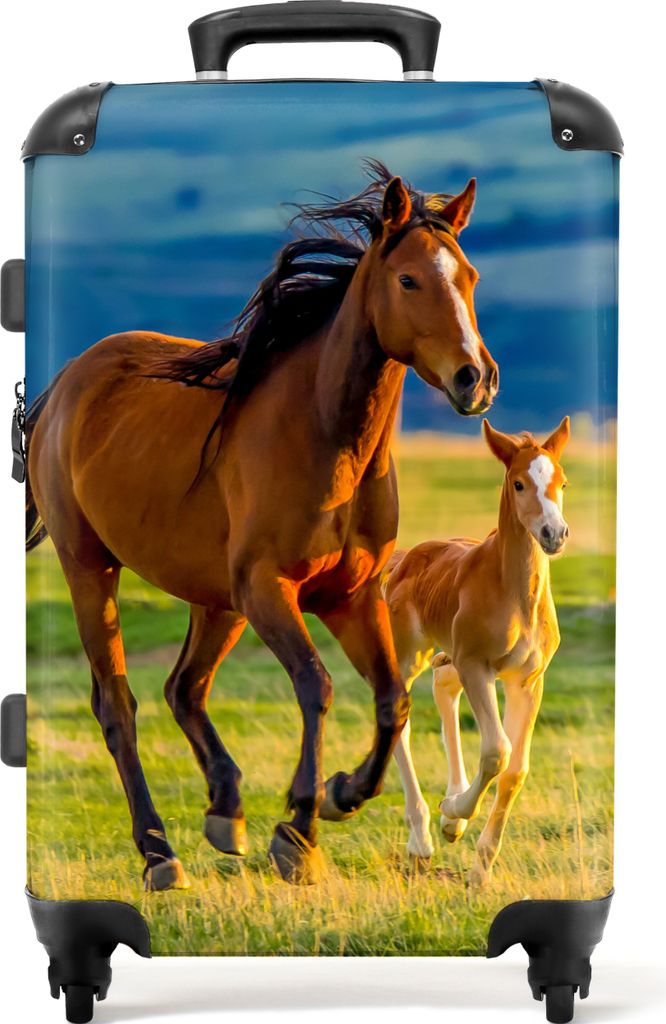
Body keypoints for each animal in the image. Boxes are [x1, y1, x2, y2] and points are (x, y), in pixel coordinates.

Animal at [25, 160, 498, 889]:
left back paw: (226, 812)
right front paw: (299, 830)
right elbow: (316, 686)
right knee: (119, 706)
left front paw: (340, 795)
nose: (476, 379)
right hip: (92, 570)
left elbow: (392, 700)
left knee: (184, 688)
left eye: (469, 276)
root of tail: (66, 385)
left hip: (216, 599)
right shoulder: (271, 590)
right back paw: (159, 853)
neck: (325, 439)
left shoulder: (350, 596)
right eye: (408, 280)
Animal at [382, 417, 570, 886]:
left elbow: (516, 768)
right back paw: (423, 838)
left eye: (562, 482)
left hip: (450, 656)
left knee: (443, 688)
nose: (554, 534)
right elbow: (496, 751)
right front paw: (454, 811)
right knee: (400, 715)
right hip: (410, 654)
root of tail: (406, 557)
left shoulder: (527, 680)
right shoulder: (477, 665)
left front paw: (480, 866)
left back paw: (449, 819)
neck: (515, 594)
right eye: (519, 483)